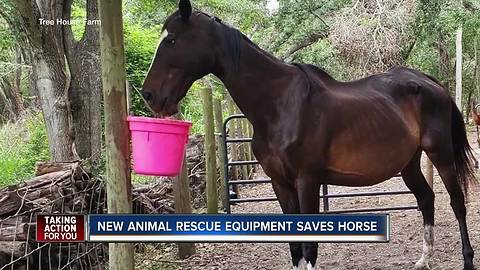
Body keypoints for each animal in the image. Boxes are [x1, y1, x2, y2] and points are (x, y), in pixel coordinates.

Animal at [142, 1, 476, 268]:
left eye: (172, 40)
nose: (149, 95)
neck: (281, 104)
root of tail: (429, 82)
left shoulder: (308, 181)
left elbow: (310, 246)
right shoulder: (281, 184)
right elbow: (295, 246)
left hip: (440, 153)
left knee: (457, 201)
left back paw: (467, 259)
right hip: (408, 163)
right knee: (427, 198)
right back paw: (423, 259)